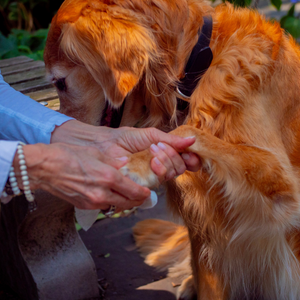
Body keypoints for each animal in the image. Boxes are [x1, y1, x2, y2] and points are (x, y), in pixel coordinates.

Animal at [44, 1, 300, 298]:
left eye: (60, 83)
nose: (60, 139)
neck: (197, 65)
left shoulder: (283, 181)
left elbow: (187, 131)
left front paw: (138, 164)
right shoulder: (203, 224)